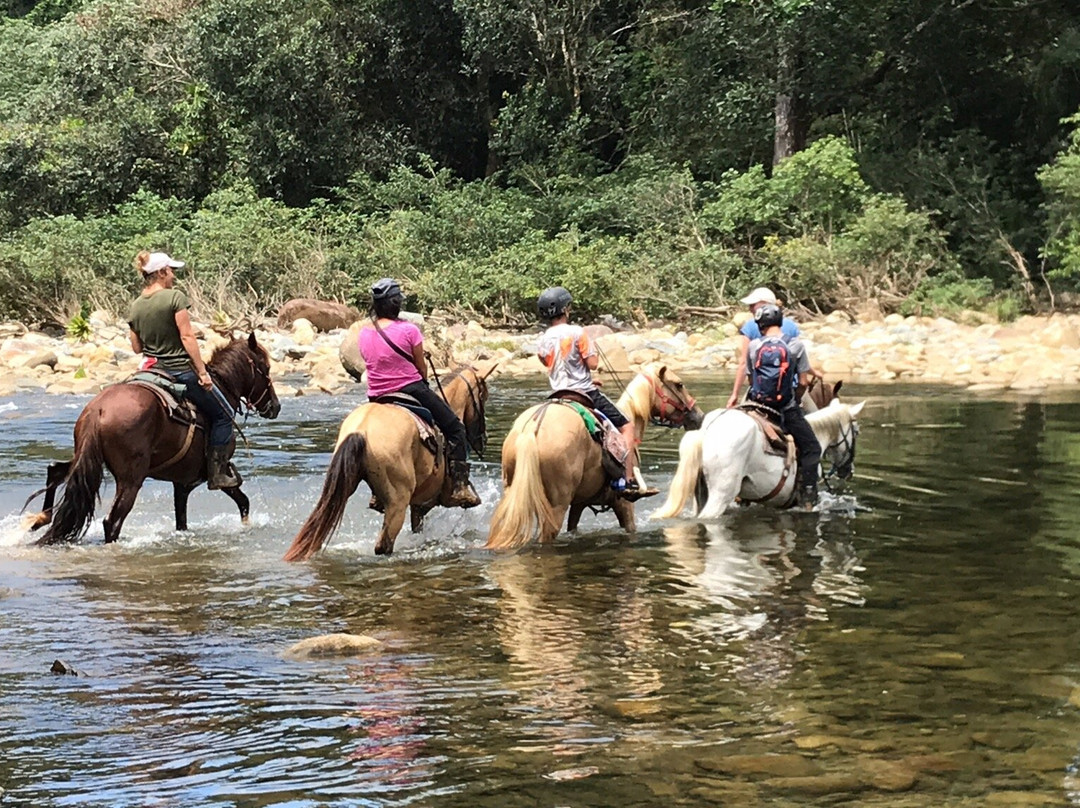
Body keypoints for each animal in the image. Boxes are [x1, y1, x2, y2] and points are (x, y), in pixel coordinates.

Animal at [26, 330, 280, 546]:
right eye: (266, 368)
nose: (275, 407)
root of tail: (98, 410)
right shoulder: (214, 473)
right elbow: (243, 501)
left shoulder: (182, 483)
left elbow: (182, 521)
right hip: (131, 479)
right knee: (112, 521)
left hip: (87, 458)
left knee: (56, 470)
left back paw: (41, 519)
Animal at [282, 362, 494, 557]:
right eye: (483, 397)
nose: (483, 440)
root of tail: (362, 430)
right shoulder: (427, 502)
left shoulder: (418, 506)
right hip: (397, 502)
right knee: (383, 546)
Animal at [486, 365, 704, 548]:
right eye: (679, 384)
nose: (699, 416)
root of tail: (533, 426)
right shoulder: (623, 503)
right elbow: (630, 528)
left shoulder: (579, 503)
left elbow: (573, 527)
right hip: (556, 505)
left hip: (514, 494)